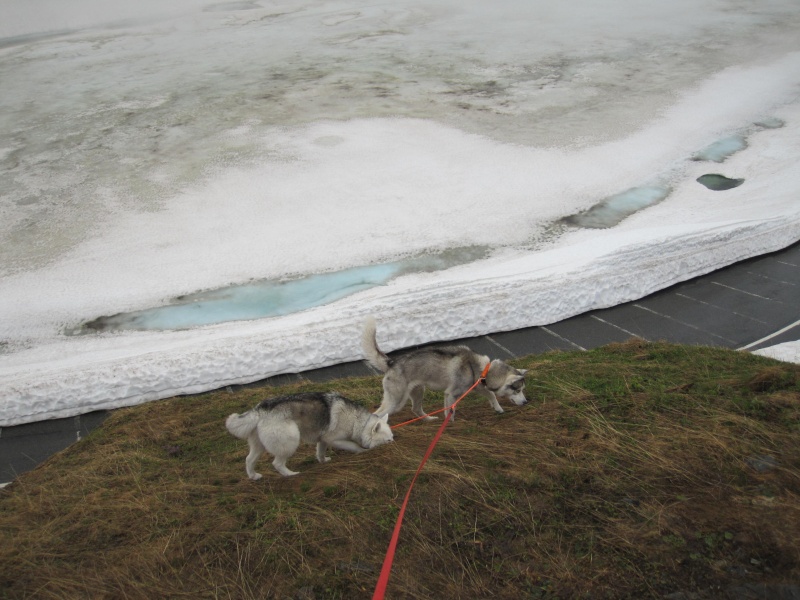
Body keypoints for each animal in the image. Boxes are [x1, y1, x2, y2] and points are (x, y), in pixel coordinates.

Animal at [225, 392, 394, 480]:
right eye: (388, 440)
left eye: (392, 438)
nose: (395, 444)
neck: (358, 422)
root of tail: (260, 409)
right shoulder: (336, 440)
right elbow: (354, 446)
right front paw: (363, 452)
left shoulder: (323, 440)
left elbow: (320, 452)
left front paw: (323, 461)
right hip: (291, 441)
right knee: (277, 463)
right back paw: (290, 474)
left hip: (258, 447)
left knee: (249, 460)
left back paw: (253, 476)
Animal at [360, 314, 524, 422]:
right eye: (517, 390)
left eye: (522, 389)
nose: (526, 402)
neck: (482, 368)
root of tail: (391, 362)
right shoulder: (451, 394)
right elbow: (451, 413)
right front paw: (451, 426)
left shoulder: (476, 388)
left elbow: (491, 395)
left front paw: (498, 408)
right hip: (396, 401)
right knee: (377, 415)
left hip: (418, 391)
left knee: (416, 410)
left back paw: (430, 420)